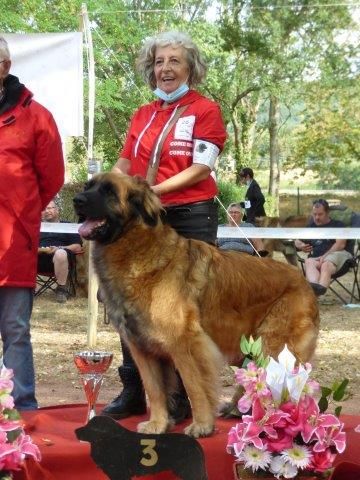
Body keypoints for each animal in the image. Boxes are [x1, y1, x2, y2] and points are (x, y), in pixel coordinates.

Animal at [72, 173, 318, 438]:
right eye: (88, 186)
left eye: (108, 191)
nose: (76, 200)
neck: (136, 246)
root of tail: (303, 280)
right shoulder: (141, 347)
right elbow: (155, 389)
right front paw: (158, 424)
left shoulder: (186, 344)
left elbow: (194, 386)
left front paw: (202, 425)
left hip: (272, 346)